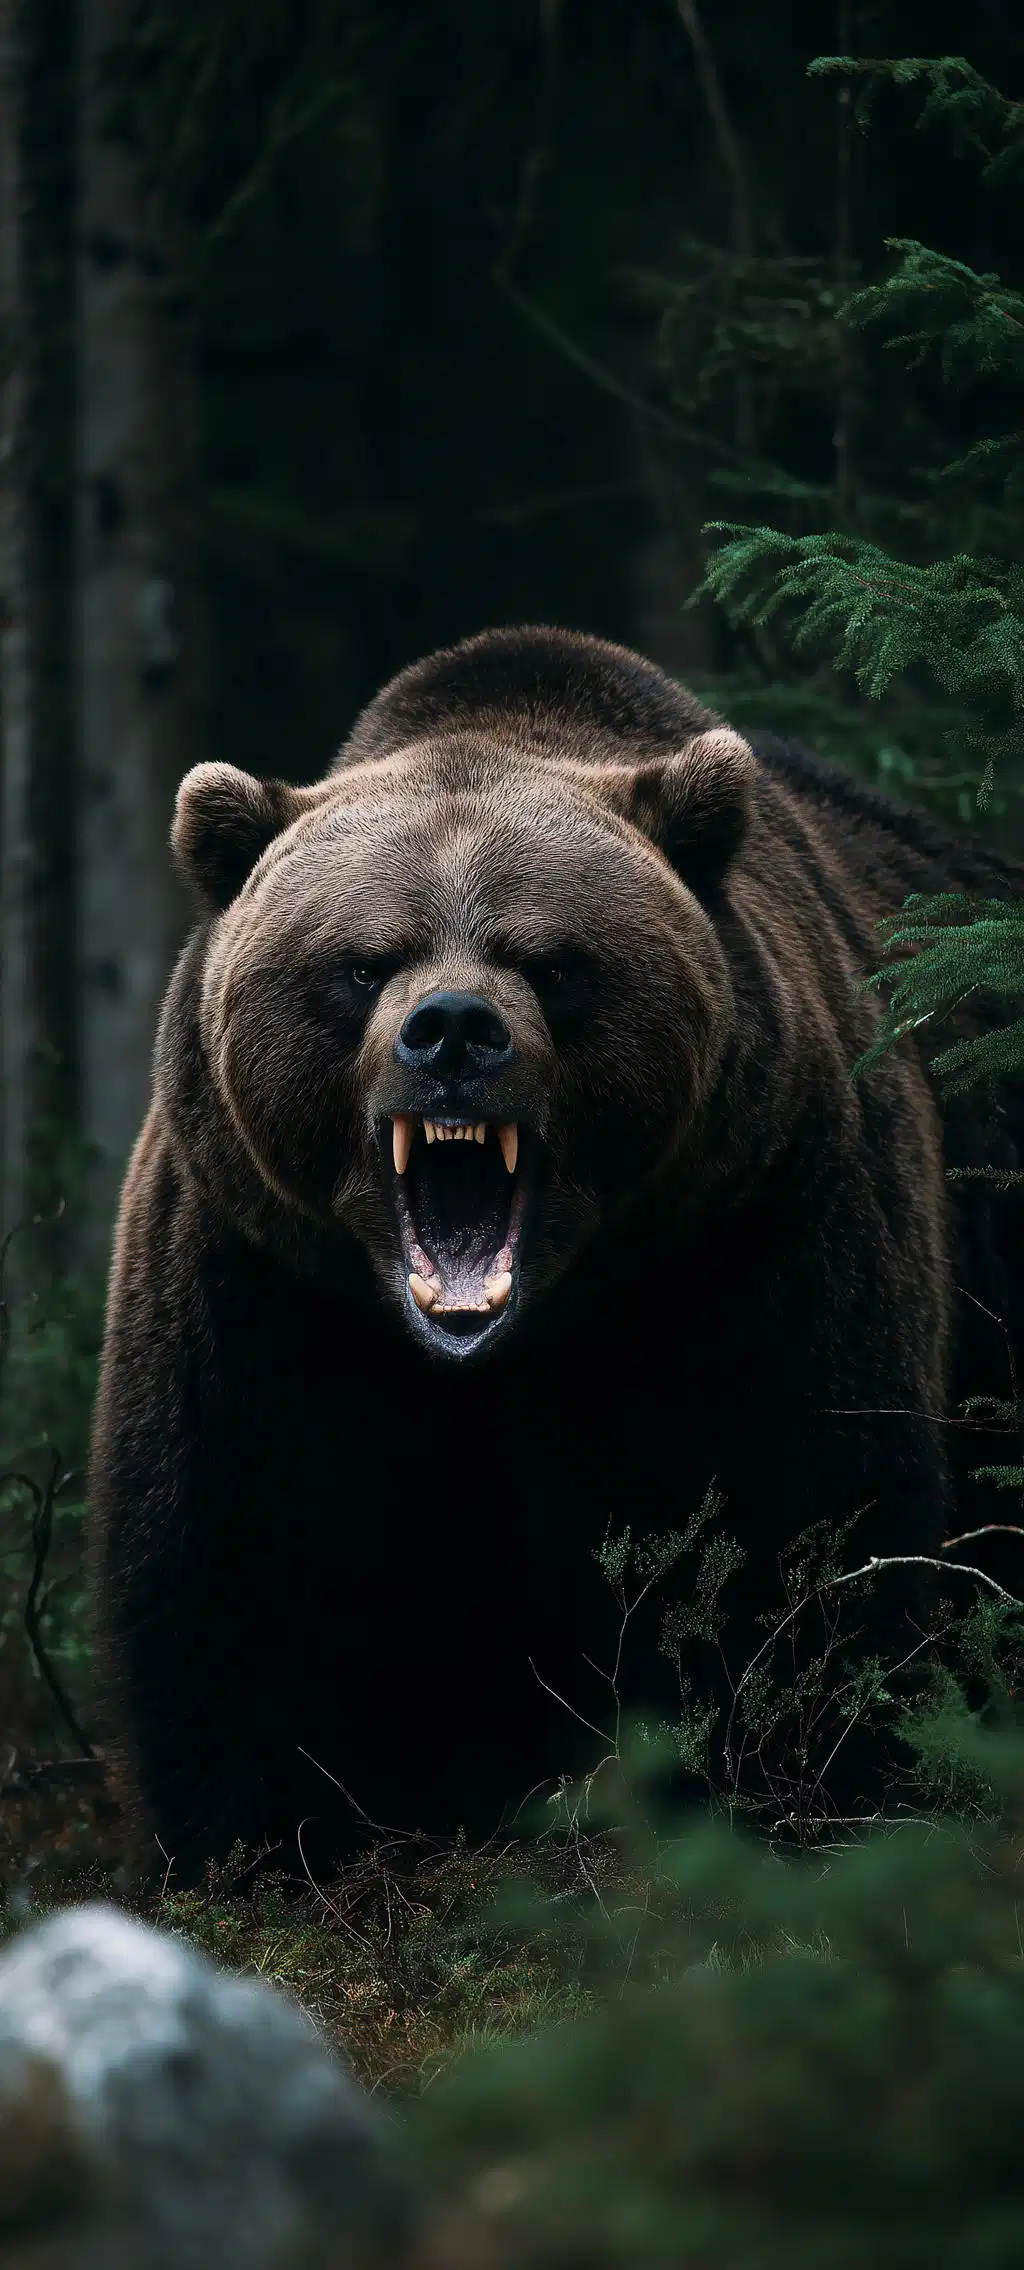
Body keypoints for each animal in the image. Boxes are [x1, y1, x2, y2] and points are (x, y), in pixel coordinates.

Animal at [88, 625, 1024, 1878]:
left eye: (549, 960)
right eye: (362, 960)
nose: (450, 1030)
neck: (497, 1349)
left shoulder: (751, 1239)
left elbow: (792, 1541)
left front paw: (787, 1803)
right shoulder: (265, 1285)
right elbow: (241, 1581)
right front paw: (263, 1843)